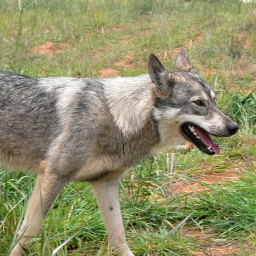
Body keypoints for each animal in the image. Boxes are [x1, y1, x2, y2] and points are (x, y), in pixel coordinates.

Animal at [2, 49, 238, 254]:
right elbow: (27, 233)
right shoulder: (53, 176)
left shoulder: (105, 183)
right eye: (198, 103)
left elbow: (118, 237)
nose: (234, 127)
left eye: (214, 100)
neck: (117, 118)